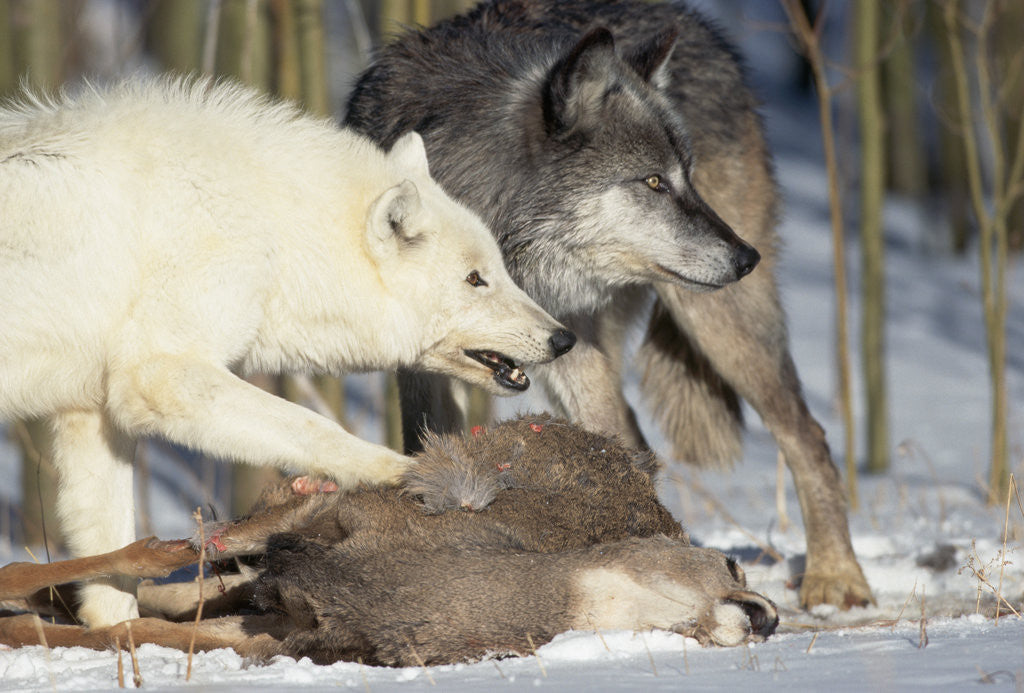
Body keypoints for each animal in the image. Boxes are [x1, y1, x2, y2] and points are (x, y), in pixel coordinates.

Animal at [0, 77, 577, 626]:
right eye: (475, 279)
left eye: (497, 269)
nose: (563, 338)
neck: (274, 234)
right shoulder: (161, 375)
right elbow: (313, 426)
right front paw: (404, 473)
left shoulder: (91, 412)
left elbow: (110, 573)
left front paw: (125, 640)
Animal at [346, 0, 872, 605]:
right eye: (654, 182)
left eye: (685, 178)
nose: (747, 258)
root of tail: (694, 21)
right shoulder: (423, 363)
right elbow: (428, 445)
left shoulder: (570, 338)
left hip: (718, 324)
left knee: (806, 436)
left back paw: (837, 579)